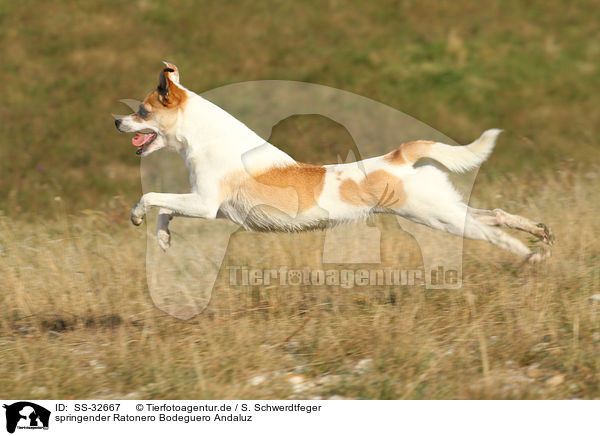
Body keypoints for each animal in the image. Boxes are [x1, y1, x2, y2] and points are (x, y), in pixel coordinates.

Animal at [116, 62, 552, 260]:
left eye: (142, 110)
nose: (116, 121)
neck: (206, 136)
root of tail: (399, 156)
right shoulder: (213, 209)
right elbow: (165, 210)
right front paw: (163, 238)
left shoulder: (206, 205)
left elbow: (151, 198)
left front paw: (137, 217)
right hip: (441, 209)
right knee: (494, 215)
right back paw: (539, 232)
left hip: (434, 215)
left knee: (491, 233)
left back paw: (529, 253)